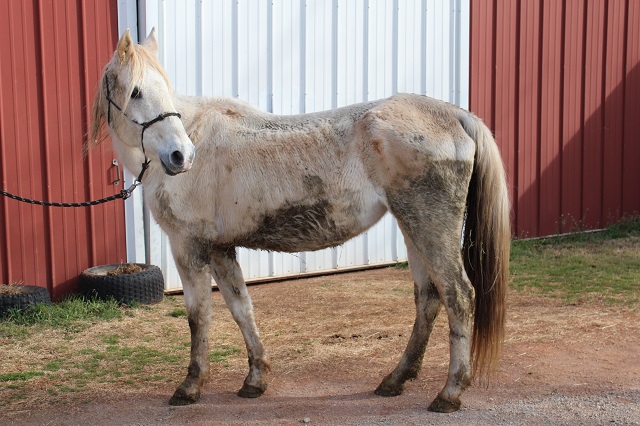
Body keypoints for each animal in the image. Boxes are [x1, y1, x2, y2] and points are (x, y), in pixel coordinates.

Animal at [91, 29, 510, 412]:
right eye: (136, 92)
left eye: (159, 89)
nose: (181, 156)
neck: (196, 134)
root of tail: (454, 114)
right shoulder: (221, 249)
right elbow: (241, 308)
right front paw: (255, 379)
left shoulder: (189, 247)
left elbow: (199, 316)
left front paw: (190, 386)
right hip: (413, 228)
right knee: (428, 298)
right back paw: (395, 380)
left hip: (430, 227)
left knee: (459, 296)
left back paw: (449, 392)